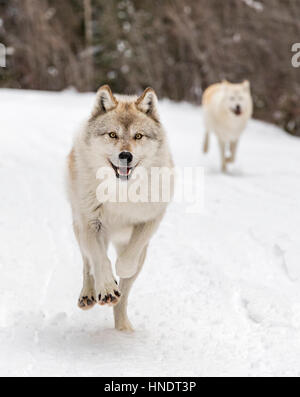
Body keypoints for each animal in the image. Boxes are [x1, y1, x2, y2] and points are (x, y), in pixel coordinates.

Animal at [66, 86, 172, 332]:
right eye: (112, 135)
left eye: (138, 136)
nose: (126, 155)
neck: (120, 192)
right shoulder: (91, 224)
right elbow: (100, 261)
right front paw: (105, 287)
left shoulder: (151, 220)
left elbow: (126, 261)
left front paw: (119, 273)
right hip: (79, 229)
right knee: (88, 264)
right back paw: (90, 295)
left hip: (140, 254)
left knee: (123, 295)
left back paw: (123, 328)